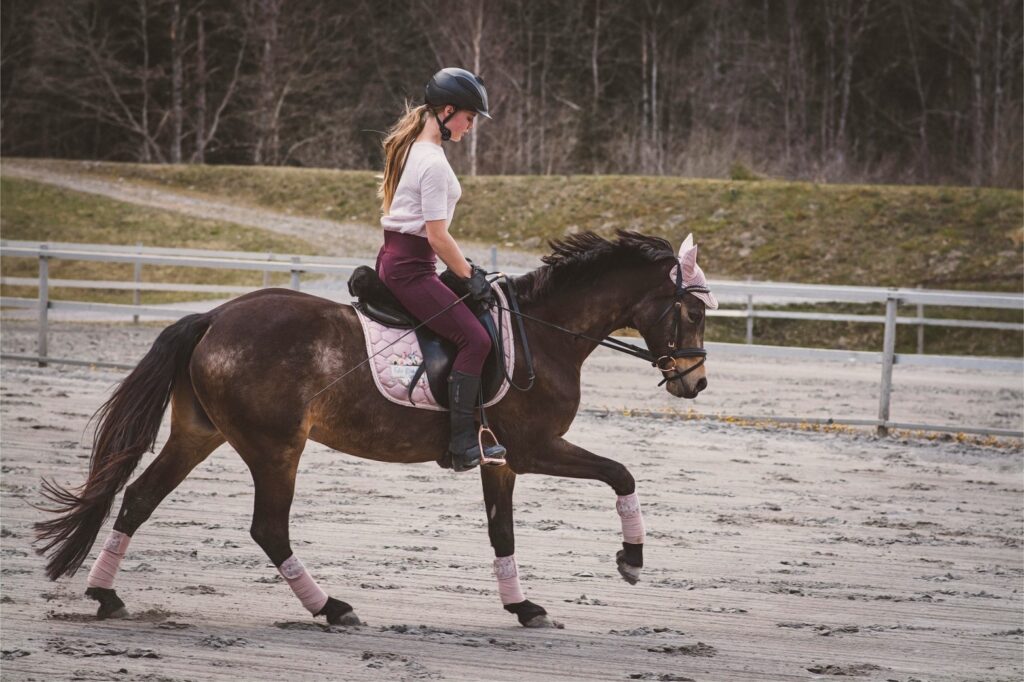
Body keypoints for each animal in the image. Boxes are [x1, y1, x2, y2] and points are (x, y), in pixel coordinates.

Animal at [37, 228, 712, 626]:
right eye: (692, 310)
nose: (696, 382)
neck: (544, 334)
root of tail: (214, 317)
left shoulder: (501, 459)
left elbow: (502, 533)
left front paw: (522, 607)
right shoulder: (534, 447)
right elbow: (620, 472)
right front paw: (631, 559)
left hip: (199, 434)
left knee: (139, 498)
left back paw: (106, 595)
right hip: (275, 447)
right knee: (268, 528)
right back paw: (332, 607)